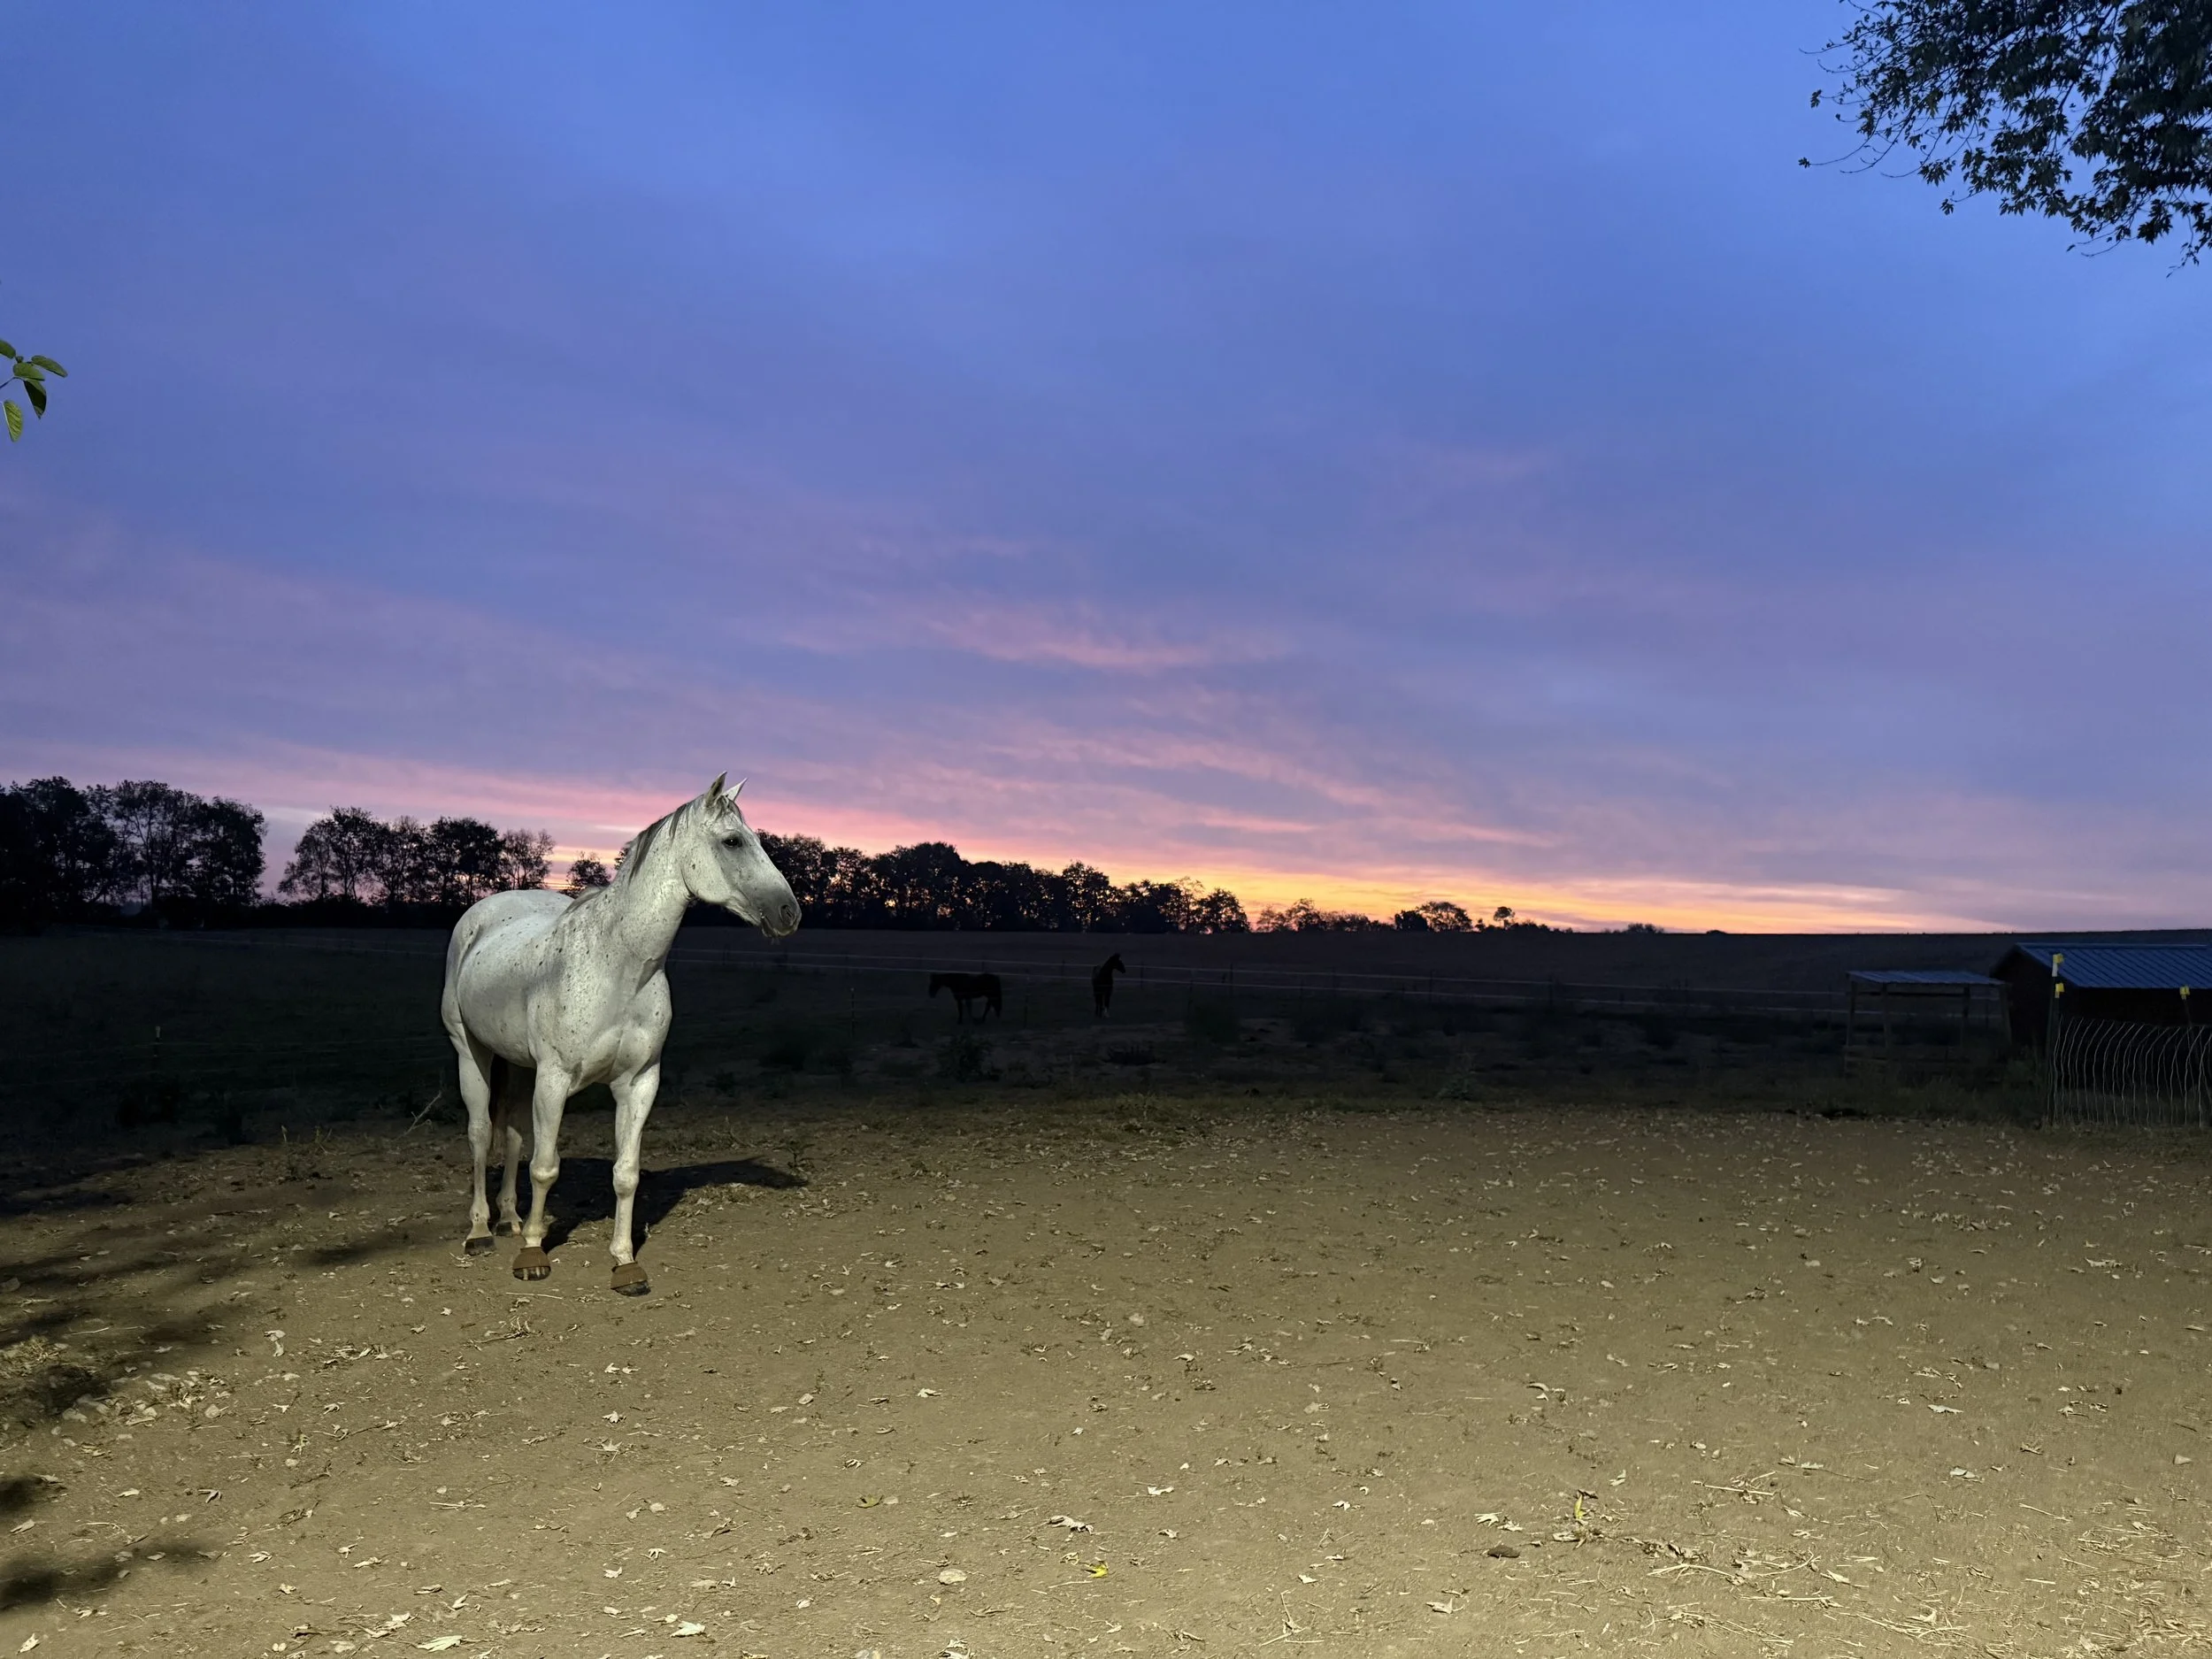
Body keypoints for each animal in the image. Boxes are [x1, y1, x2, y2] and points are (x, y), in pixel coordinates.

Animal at [440, 774, 799, 1295]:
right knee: (481, 1132)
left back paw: (510, 1219)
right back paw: (482, 1231)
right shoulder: (554, 1079)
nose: (789, 912)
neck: (618, 966)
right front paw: (532, 1254)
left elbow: (625, 1174)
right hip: (473, 1052)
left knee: (512, 1133)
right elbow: (545, 1167)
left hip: (521, 1065)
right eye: (732, 841)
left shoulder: (639, 1082)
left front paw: (625, 1263)